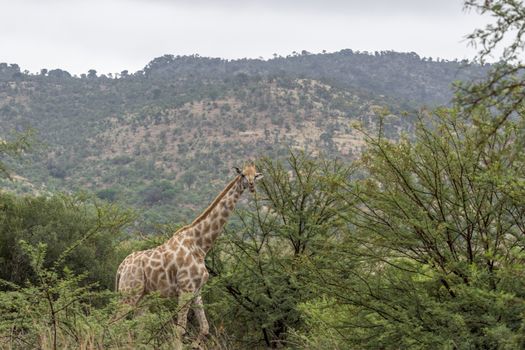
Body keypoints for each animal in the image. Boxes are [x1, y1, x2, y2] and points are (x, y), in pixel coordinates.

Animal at [114, 164, 262, 344]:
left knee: (137, 326)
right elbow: (180, 330)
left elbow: (204, 328)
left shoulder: (196, 290)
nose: (251, 186)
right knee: (116, 324)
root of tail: (121, 268)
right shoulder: (185, 288)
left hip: (142, 295)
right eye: (242, 175)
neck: (200, 245)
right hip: (129, 293)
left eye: (255, 175)